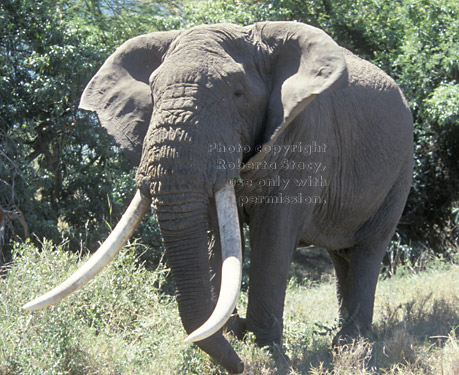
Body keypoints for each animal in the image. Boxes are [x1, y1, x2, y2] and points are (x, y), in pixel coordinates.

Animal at [24, 22, 414, 374]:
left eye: (238, 93)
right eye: (153, 93)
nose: (239, 365)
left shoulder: (305, 132)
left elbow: (274, 233)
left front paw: (271, 359)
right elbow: (212, 232)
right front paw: (235, 335)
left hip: (401, 169)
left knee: (367, 250)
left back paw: (354, 348)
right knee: (341, 255)